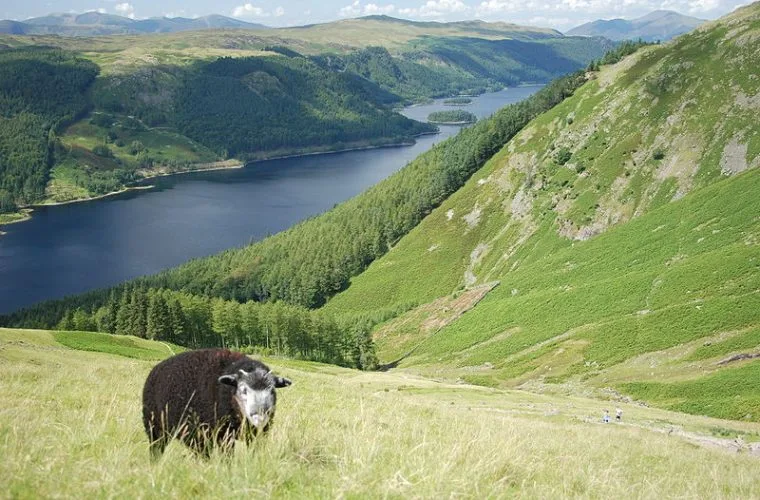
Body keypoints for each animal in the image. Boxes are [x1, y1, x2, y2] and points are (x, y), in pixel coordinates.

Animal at [142, 348, 290, 458]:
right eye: (243, 389)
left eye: (272, 390)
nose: (260, 416)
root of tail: (156, 368)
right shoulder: (223, 435)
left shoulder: (257, 435)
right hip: (155, 427)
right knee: (157, 448)